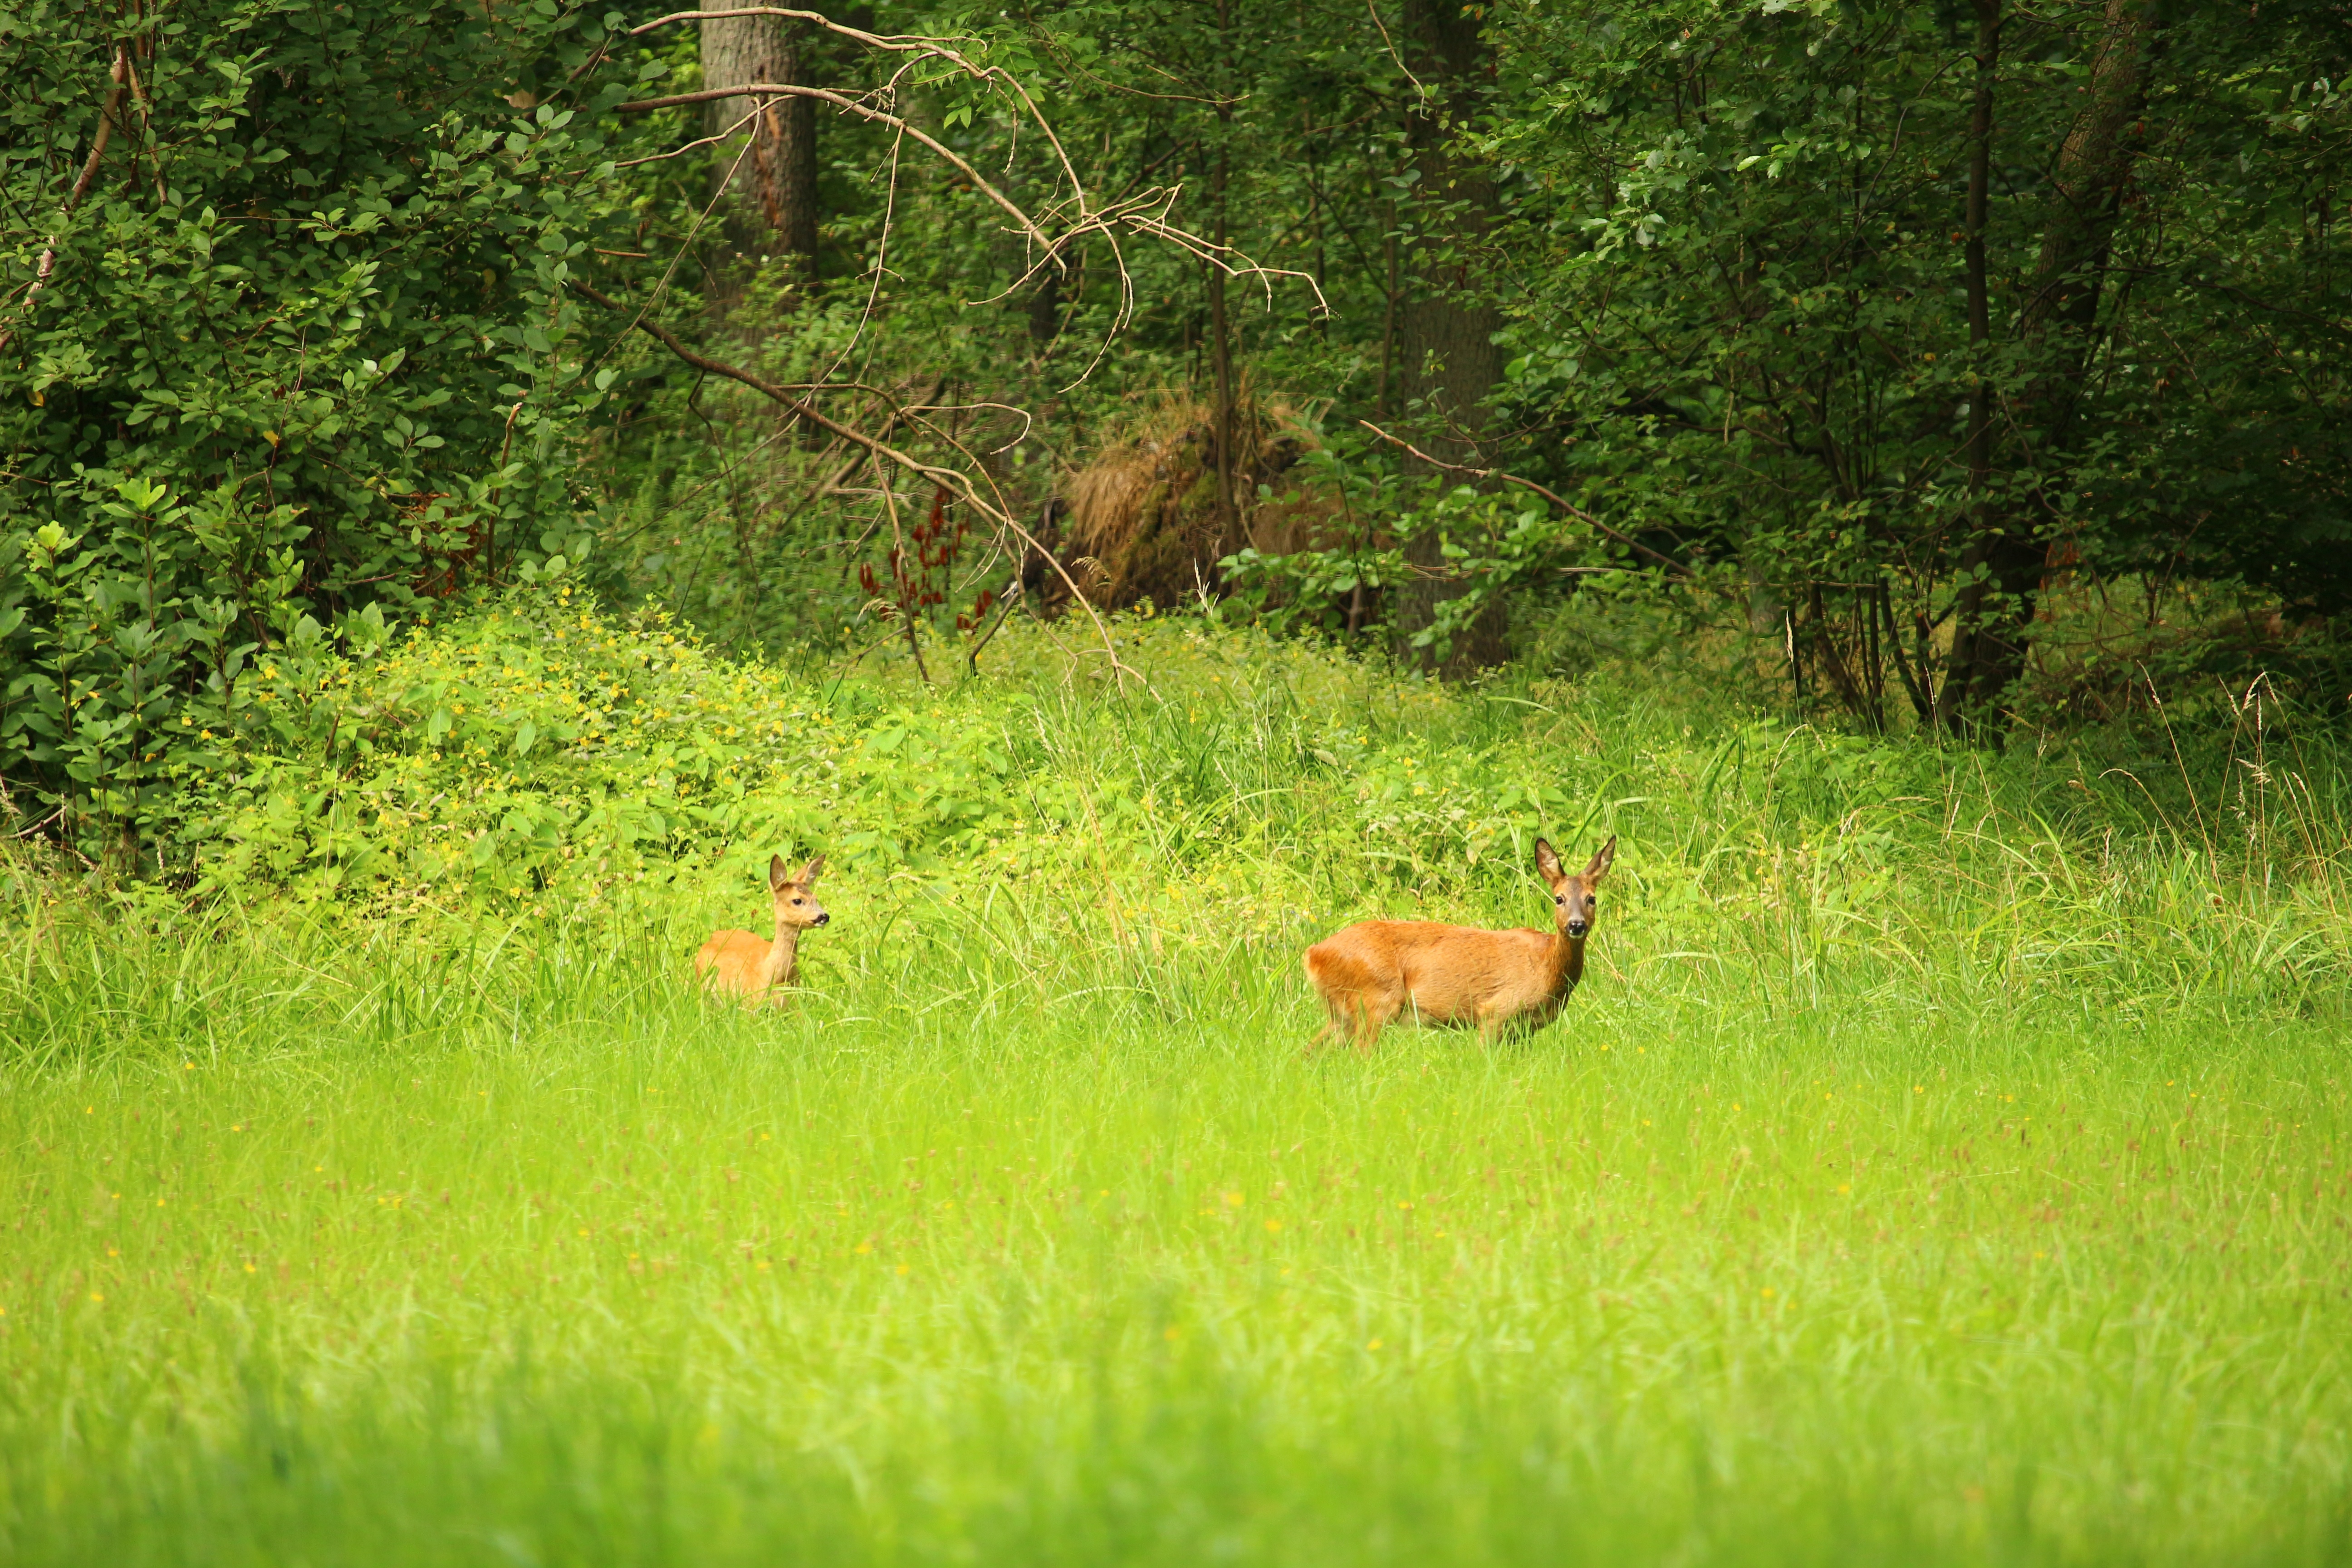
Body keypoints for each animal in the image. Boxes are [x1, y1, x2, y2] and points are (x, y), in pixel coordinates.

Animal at [1308, 832, 1618, 1053]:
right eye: (1559, 898)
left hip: (1343, 1012)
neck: (1547, 967)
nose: (1576, 925)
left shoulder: (1526, 1029)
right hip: (1375, 1000)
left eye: (1592, 899)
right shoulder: (1495, 1012)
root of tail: (1313, 954)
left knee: (1311, 1051)